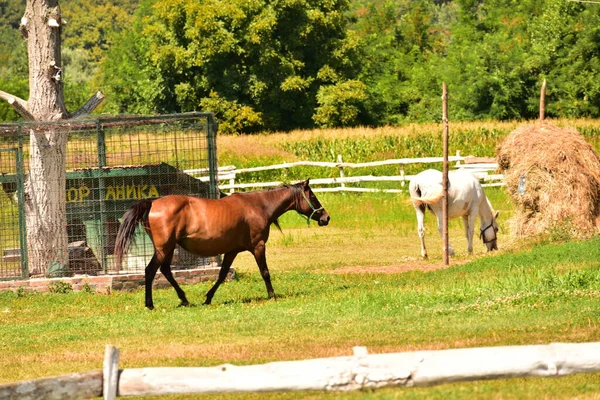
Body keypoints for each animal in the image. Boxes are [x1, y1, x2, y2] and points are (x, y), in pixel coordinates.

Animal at [115, 180, 330, 310]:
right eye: (313, 196)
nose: (326, 217)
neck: (258, 205)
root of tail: (152, 203)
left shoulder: (232, 251)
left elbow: (221, 275)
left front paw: (208, 298)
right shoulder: (258, 246)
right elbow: (265, 272)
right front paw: (272, 295)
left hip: (168, 249)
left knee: (165, 271)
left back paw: (184, 299)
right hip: (163, 249)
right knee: (151, 270)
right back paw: (150, 304)